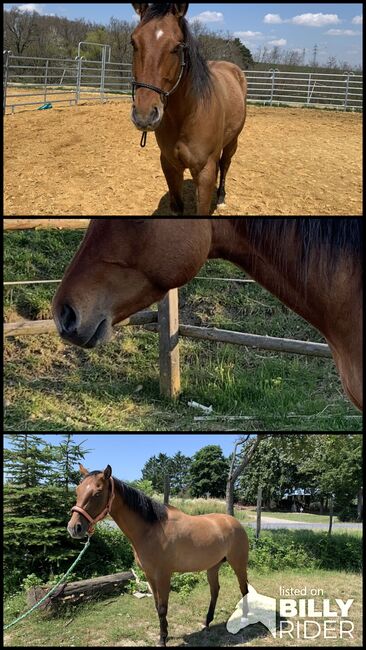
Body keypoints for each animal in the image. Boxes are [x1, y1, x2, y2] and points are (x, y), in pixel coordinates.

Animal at [67, 460, 249, 644]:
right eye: (77, 490)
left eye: (98, 493)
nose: (74, 528)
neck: (150, 530)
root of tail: (235, 522)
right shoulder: (149, 575)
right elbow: (157, 606)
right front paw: (164, 633)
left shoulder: (163, 575)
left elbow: (162, 607)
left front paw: (162, 639)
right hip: (213, 566)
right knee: (215, 590)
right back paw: (207, 622)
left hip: (238, 564)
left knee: (244, 589)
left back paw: (244, 619)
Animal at [129, 3, 246, 215]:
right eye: (134, 42)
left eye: (177, 47)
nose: (144, 115)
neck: (187, 115)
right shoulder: (170, 166)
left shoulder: (205, 171)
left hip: (232, 141)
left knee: (225, 165)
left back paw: (221, 198)